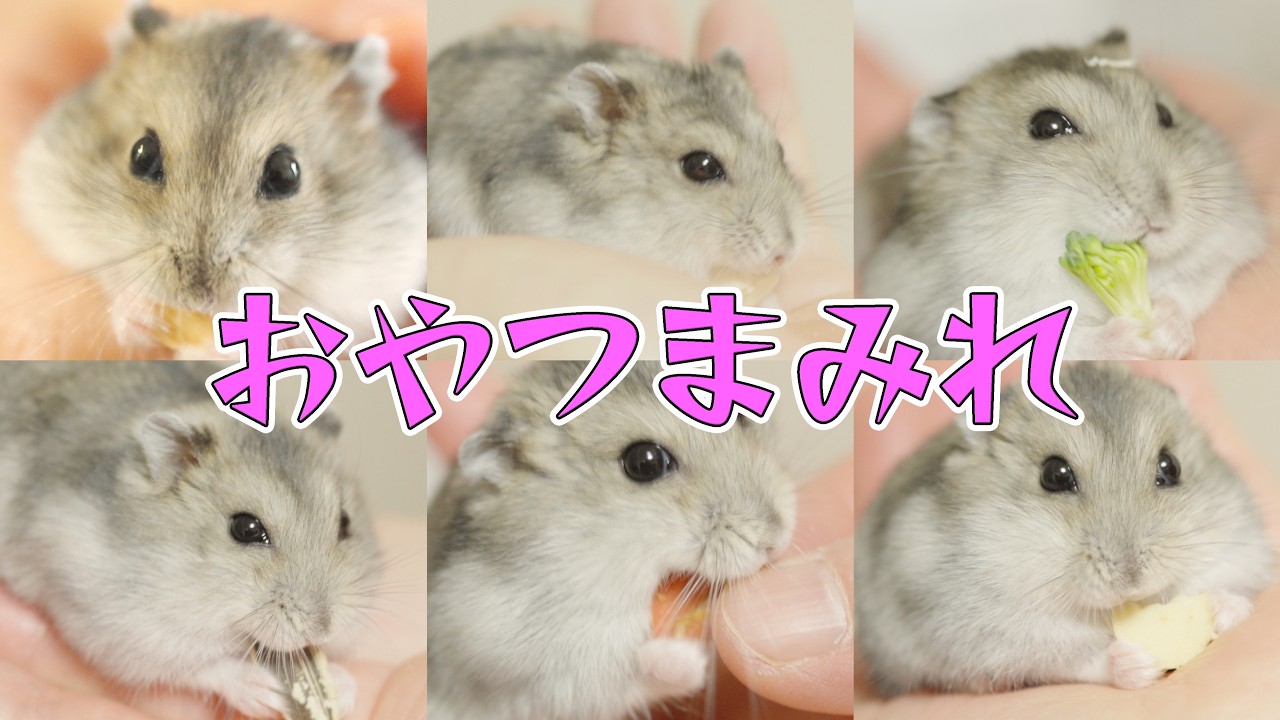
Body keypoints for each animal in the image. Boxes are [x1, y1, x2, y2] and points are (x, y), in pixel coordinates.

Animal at [0, 362, 380, 718]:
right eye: (246, 529)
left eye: (345, 523)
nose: (322, 630)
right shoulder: (116, 627)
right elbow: (200, 667)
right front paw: (264, 692)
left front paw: (342, 689)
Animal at [427, 361, 796, 720]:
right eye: (644, 462)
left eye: (741, 416)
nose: (776, 540)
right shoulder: (516, 664)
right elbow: (616, 675)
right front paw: (691, 660)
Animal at [854, 363, 1274, 697]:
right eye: (1054, 475)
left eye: (1171, 467)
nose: (1133, 578)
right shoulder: (986, 633)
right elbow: (1072, 657)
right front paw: (1137, 664)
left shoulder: (1241, 545)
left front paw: (1220, 606)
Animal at [858, 30, 1267, 360]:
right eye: (1048, 126)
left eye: (1165, 114)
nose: (1162, 220)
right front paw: (1135, 339)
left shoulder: (1225, 244)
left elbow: (1194, 282)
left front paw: (1166, 334)